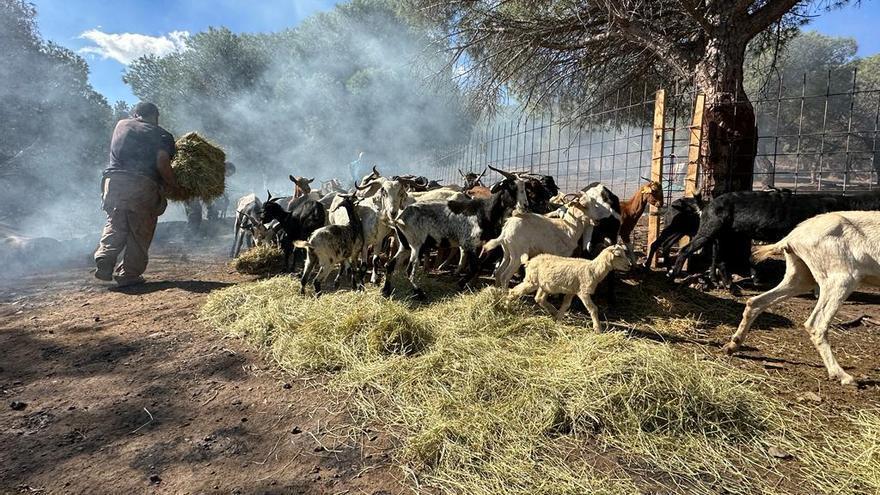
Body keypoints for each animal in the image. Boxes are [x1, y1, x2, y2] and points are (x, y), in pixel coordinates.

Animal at [720, 211, 880, 386]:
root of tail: (792, 237)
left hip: (801, 277)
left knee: (755, 302)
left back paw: (732, 345)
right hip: (841, 279)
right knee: (816, 325)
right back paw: (841, 375)